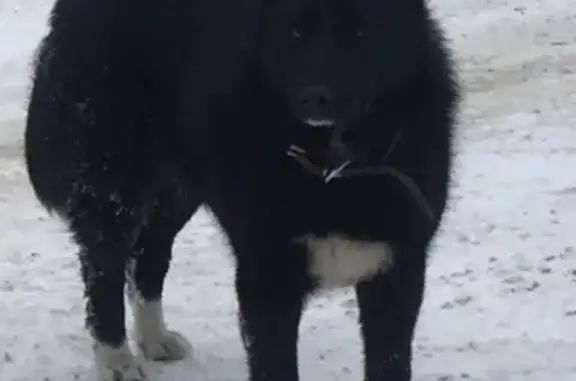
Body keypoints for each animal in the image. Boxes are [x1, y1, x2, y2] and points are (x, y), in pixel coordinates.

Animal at [24, 0, 462, 378]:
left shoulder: (398, 273)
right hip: (113, 183)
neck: (334, 167)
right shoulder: (265, 281)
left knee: (149, 255)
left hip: (180, 188)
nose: (314, 98)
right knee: (103, 268)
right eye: (296, 31)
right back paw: (117, 360)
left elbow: (390, 362)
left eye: (359, 30)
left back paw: (155, 339)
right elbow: (274, 366)